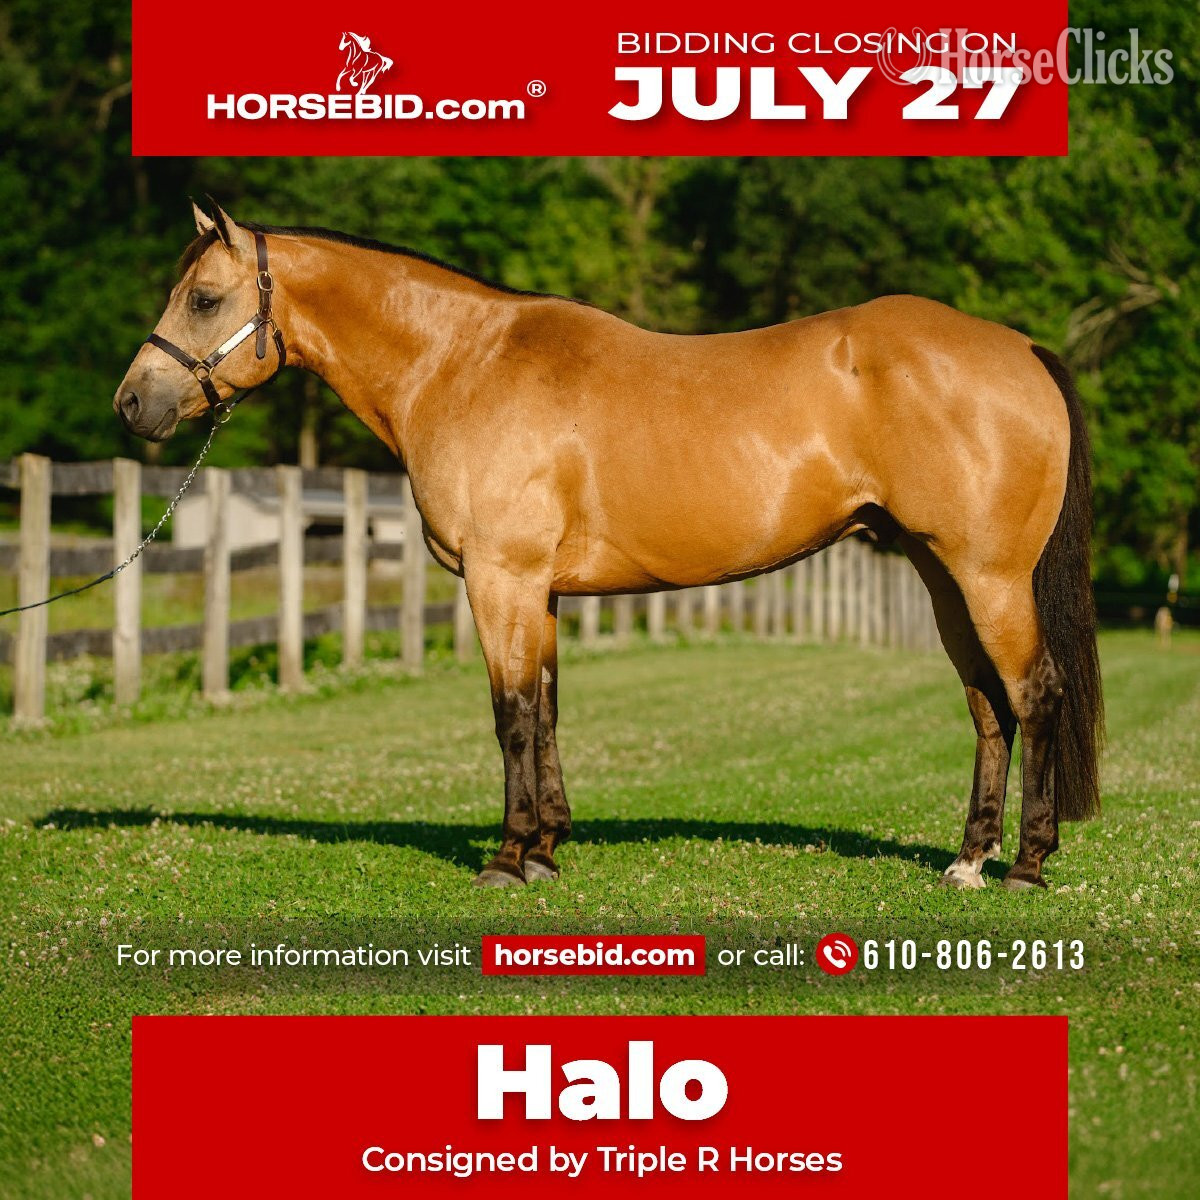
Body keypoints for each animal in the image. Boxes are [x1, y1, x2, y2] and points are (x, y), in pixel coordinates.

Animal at [115, 202, 1103, 891]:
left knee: (1036, 694)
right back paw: (969, 860)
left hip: (987, 577)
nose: (134, 403)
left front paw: (508, 858)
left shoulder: (501, 580)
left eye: (205, 298)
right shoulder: (538, 591)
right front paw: (549, 846)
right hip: (942, 577)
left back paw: (1025, 865)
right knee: (989, 708)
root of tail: (1019, 346)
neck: (462, 362)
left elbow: (512, 713)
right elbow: (548, 709)